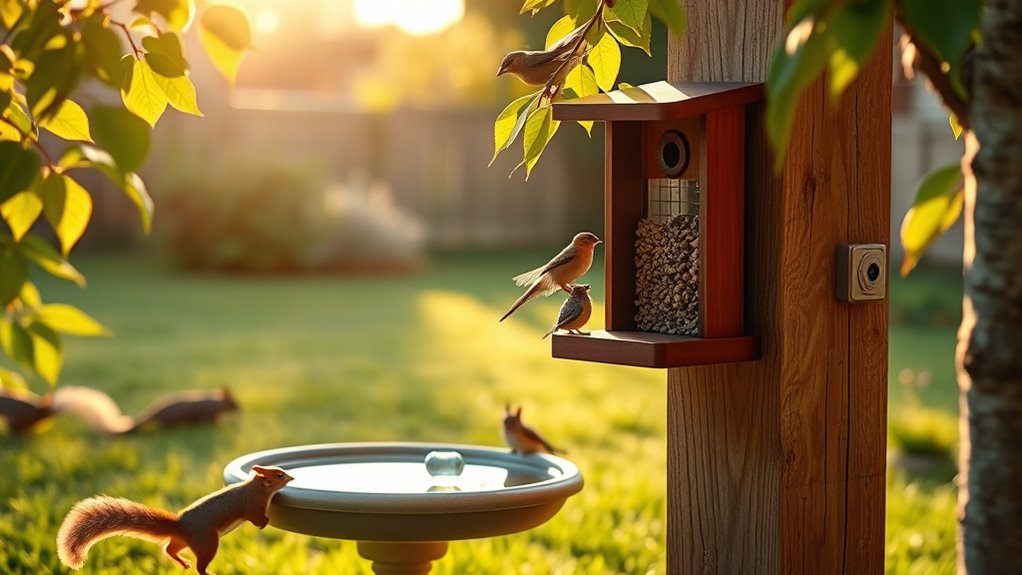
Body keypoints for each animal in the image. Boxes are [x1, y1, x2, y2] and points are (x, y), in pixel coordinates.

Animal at [57, 465, 293, 575]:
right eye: (279, 476)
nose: (291, 477)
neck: (256, 487)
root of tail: (179, 526)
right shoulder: (252, 506)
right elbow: (256, 518)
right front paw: (264, 524)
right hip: (208, 542)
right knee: (200, 565)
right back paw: (207, 571)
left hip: (184, 542)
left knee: (169, 549)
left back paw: (182, 562)